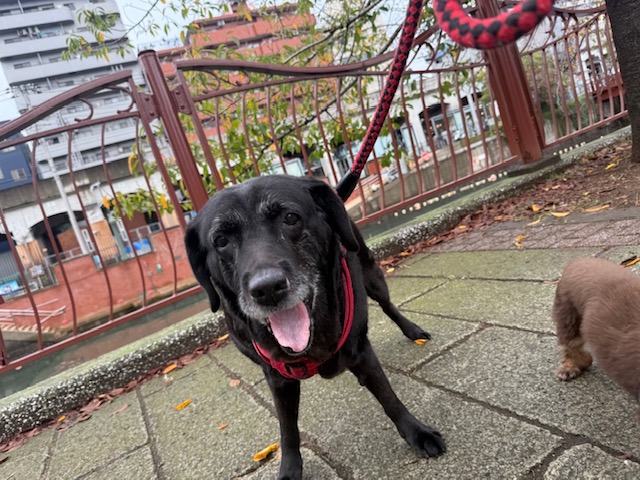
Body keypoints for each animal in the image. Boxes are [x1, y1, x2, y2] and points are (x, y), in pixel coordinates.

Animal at [185, 174, 444, 478]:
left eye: (290, 217)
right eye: (221, 240)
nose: (267, 288)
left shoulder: (360, 351)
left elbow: (388, 397)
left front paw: (417, 432)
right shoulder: (278, 378)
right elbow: (288, 430)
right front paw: (289, 469)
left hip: (372, 274)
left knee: (388, 305)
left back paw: (412, 330)